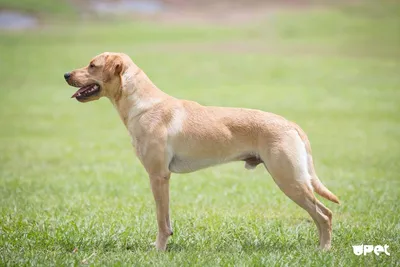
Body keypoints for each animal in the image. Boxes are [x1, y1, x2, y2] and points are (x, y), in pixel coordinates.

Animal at [64, 52, 340, 253]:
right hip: (294, 180)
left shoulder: (158, 176)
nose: (65, 74)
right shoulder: (163, 178)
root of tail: (291, 124)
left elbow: (160, 220)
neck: (143, 104)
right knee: (320, 215)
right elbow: (167, 220)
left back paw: (324, 250)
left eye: (92, 65)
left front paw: (158, 250)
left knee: (324, 215)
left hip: (290, 180)